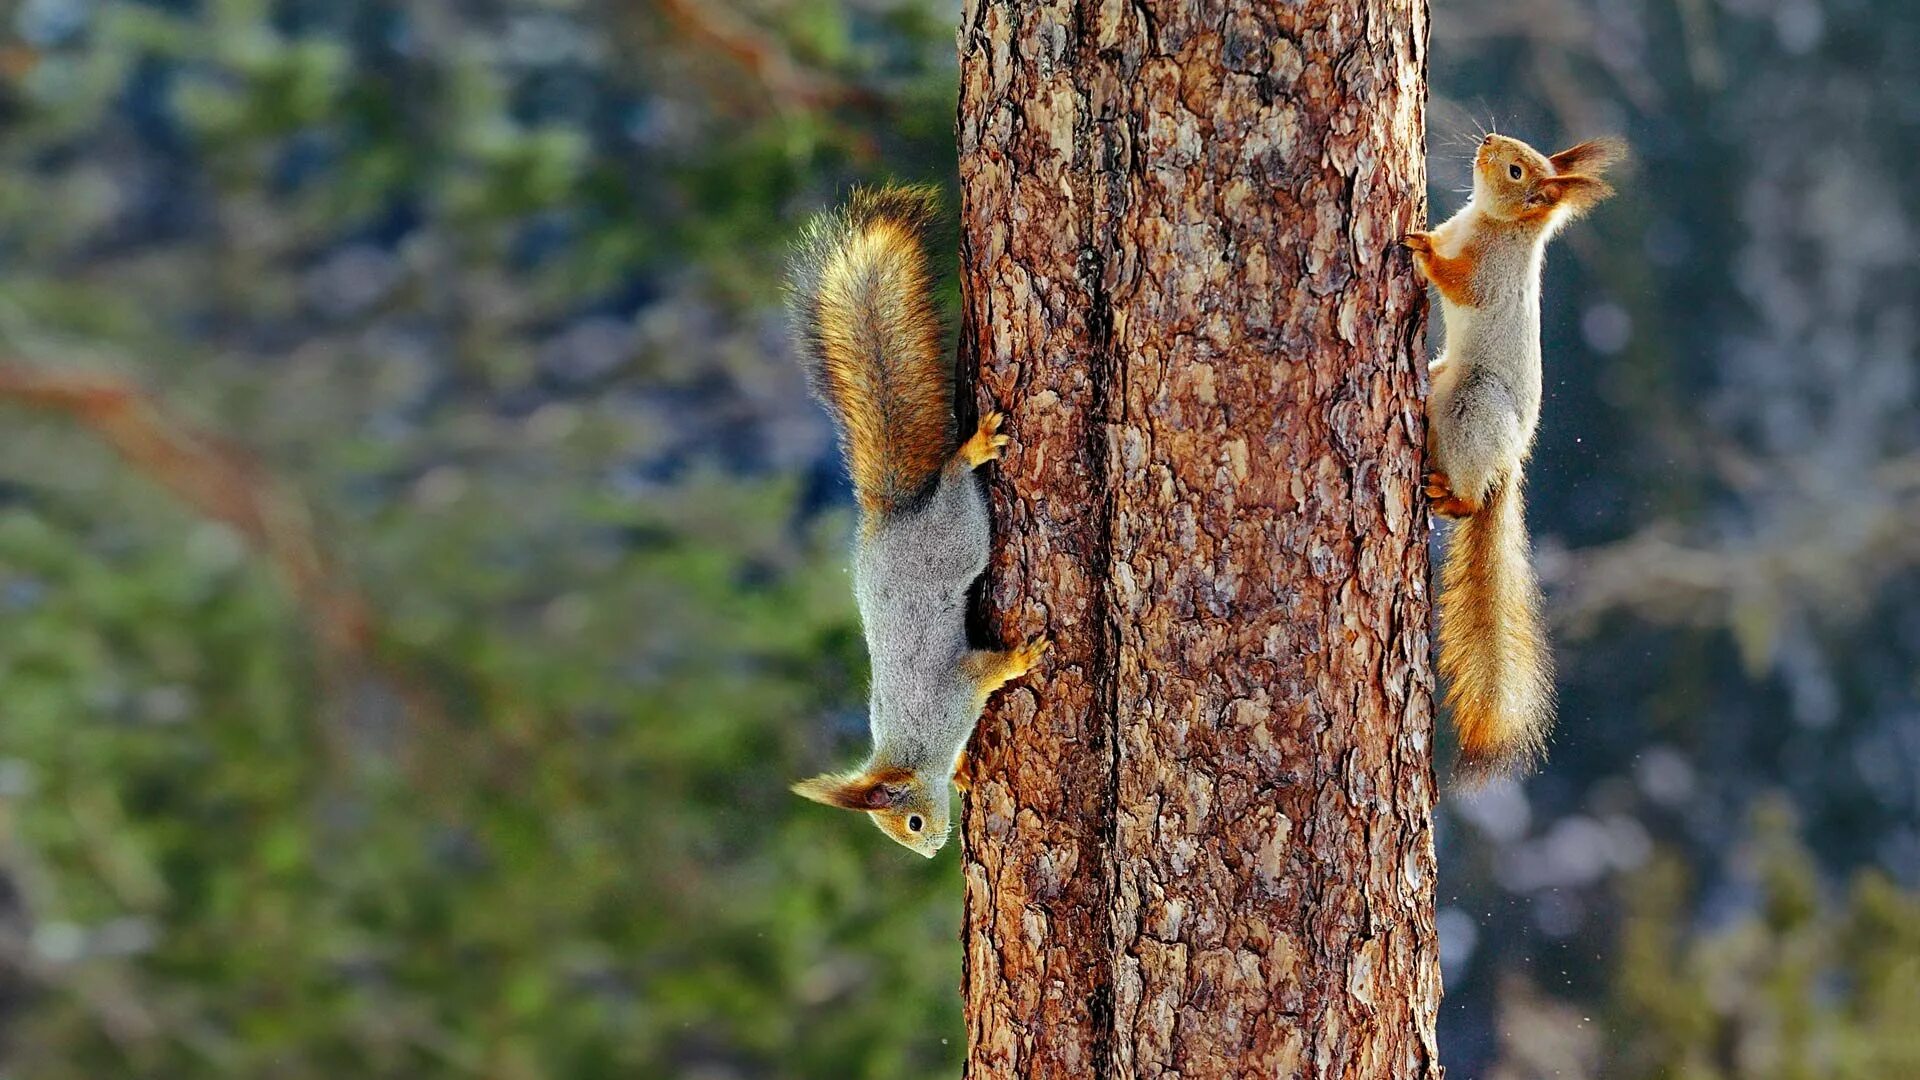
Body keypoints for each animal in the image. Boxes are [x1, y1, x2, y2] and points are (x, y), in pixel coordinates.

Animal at [783, 187, 1052, 857]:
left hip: (957, 533)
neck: (913, 748)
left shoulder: (951, 695)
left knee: (955, 478)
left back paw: (972, 450)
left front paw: (1019, 658)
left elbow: (984, 672)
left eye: (907, 823)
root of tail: (894, 515)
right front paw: (963, 772)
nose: (930, 849)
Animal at [1397, 132, 1620, 780]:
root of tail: (1507, 464)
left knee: (1470, 502)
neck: (1492, 223)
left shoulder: (1489, 279)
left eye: (1518, 170)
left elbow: (1457, 283)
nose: (1489, 141)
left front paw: (1419, 245)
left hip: (1476, 406)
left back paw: (1452, 496)